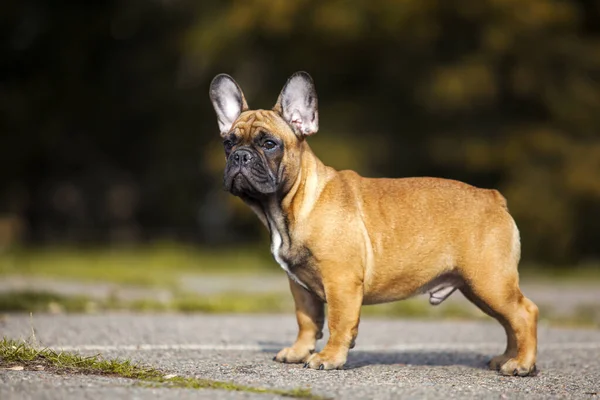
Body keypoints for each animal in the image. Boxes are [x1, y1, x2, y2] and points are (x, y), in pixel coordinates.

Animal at [209, 71, 536, 376]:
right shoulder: (300, 287)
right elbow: (307, 321)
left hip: (489, 281)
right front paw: (299, 352)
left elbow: (338, 322)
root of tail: (493, 197)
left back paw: (521, 364)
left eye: (269, 144)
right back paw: (508, 359)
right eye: (228, 143)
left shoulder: (340, 280)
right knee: (509, 321)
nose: (240, 156)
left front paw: (329, 358)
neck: (291, 203)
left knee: (524, 313)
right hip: (478, 287)